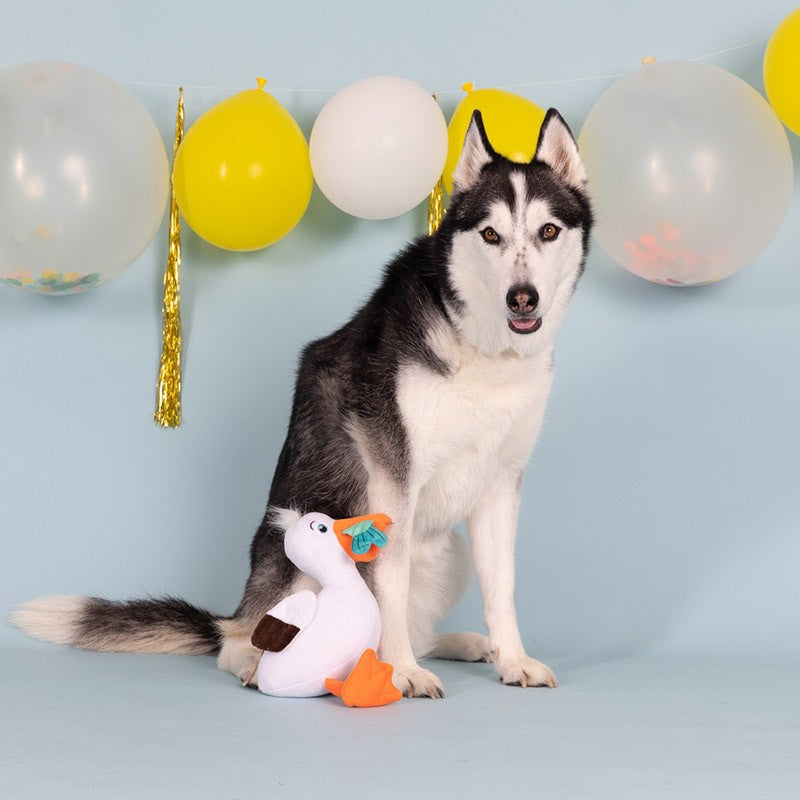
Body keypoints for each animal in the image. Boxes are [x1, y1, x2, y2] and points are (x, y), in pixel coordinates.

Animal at [9, 109, 592, 696]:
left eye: (548, 231)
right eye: (491, 235)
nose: (523, 298)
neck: (484, 346)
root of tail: (237, 609)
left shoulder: (502, 482)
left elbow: (503, 586)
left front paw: (511, 658)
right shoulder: (393, 479)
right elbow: (391, 584)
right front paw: (401, 671)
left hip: (451, 553)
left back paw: (458, 644)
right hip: (294, 556)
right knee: (239, 640)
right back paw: (258, 661)